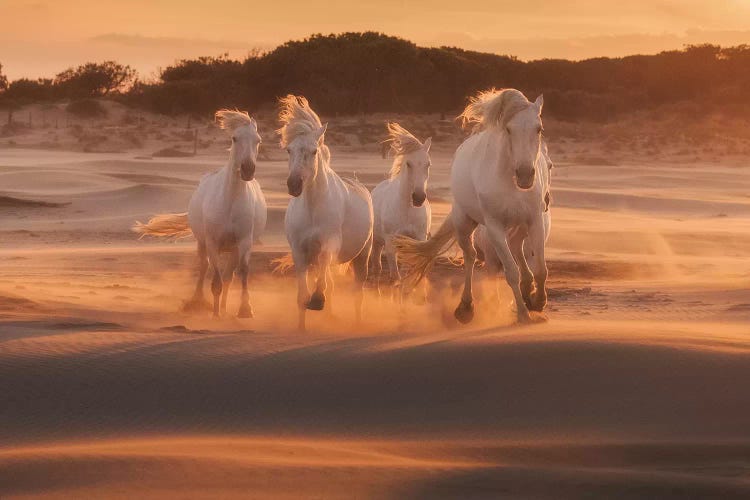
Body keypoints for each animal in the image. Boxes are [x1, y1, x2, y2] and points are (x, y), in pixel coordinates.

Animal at [134, 111, 268, 318]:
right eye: (234, 138)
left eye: (258, 140)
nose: (247, 170)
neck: (230, 200)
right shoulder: (212, 242)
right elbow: (215, 279)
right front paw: (215, 314)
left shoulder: (244, 241)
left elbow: (242, 272)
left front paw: (245, 309)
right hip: (202, 243)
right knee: (204, 268)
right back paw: (198, 302)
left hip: (233, 250)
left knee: (228, 276)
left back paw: (223, 307)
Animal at [280, 95, 374, 330]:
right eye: (289, 150)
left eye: (314, 151)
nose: (294, 185)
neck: (313, 208)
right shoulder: (299, 251)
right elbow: (302, 295)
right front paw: (301, 328)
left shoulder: (328, 244)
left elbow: (322, 276)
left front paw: (317, 301)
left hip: (363, 256)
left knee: (358, 292)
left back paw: (358, 322)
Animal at [372, 122, 432, 292]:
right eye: (408, 163)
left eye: (428, 164)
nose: (418, 198)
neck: (407, 211)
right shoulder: (390, 243)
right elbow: (395, 277)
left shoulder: (416, 241)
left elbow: (406, 277)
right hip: (377, 243)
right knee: (377, 268)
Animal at [396, 88, 548, 324]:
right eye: (508, 129)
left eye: (538, 128)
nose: (524, 175)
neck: (508, 181)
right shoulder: (495, 227)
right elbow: (510, 271)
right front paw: (523, 314)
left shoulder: (534, 220)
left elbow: (541, 268)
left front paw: (538, 301)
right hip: (464, 223)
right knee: (470, 257)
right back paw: (466, 307)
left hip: (520, 225)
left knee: (516, 248)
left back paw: (527, 290)